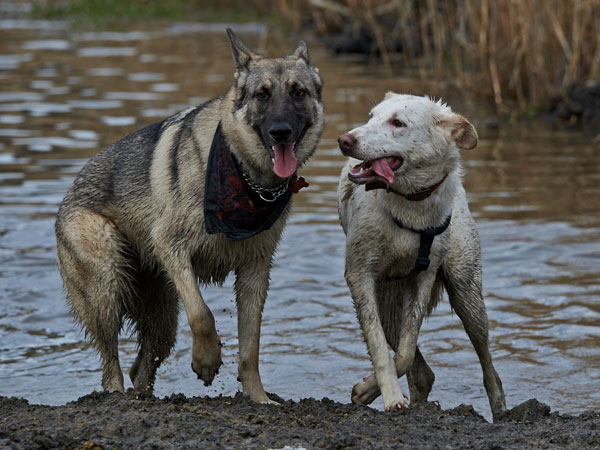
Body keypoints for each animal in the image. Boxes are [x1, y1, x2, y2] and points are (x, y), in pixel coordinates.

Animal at [57, 29, 324, 402]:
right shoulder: (171, 246)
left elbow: (250, 348)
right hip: (107, 286)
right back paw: (117, 395)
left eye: (299, 93)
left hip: (162, 317)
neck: (246, 176)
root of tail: (67, 196)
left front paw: (258, 397)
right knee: (111, 363)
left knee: (141, 367)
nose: (281, 131)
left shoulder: (255, 271)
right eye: (262, 94)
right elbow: (202, 314)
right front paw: (207, 361)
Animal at [338, 92, 506, 422]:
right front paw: (389, 396)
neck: (409, 202)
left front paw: (369, 390)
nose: (344, 140)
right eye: (372, 116)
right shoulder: (360, 276)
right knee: (422, 372)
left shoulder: (424, 277)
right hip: (387, 304)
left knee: (489, 368)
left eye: (398, 122)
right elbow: (382, 349)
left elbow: (404, 351)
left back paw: (501, 412)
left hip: (467, 294)